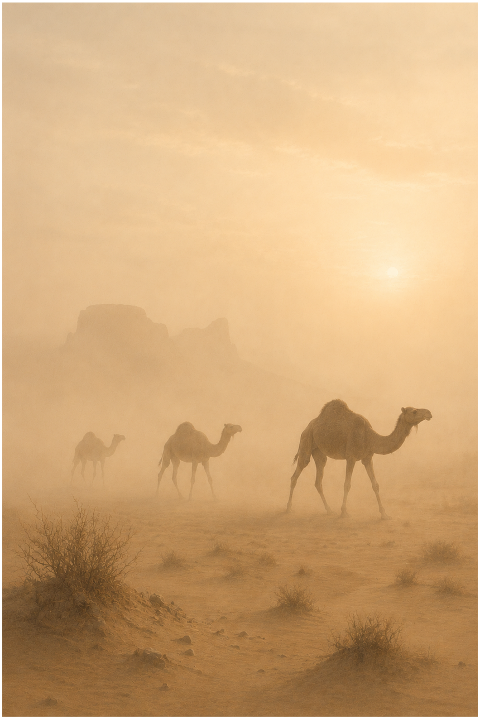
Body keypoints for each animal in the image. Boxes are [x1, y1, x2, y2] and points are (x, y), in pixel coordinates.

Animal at [287, 400, 432, 518]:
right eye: (414, 411)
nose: (429, 413)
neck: (369, 437)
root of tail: (307, 428)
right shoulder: (351, 457)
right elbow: (347, 484)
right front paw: (344, 512)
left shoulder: (367, 458)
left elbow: (375, 484)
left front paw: (384, 514)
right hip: (306, 442)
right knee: (295, 475)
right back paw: (288, 508)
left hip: (319, 453)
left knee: (318, 480)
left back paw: (329, 510)